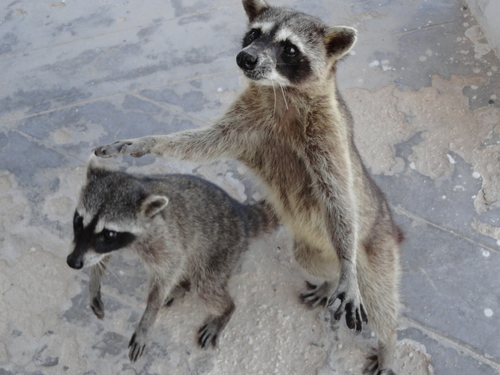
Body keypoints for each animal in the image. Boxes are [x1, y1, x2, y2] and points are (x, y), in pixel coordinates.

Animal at [66, 154, 278, 362]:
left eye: (109, 233)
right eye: (79, 220)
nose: (73, 262)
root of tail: (242, 213)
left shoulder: (165, 238)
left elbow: (170, 269)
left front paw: (147, 320)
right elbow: (101, 257)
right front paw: (94, 282)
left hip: (222, 251)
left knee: (206, 287)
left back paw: (225, 310)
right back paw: (182, 286)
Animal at [94, 0, 402, 374]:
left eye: (289, 48)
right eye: (254, 34)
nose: (246, 57)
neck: (281, 92)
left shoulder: (329, 136)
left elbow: (339, 198)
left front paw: (348, 275)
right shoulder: (246, 125)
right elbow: (200, 144)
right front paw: (148, 142)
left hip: (376, 247)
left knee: (380, 298)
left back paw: (387, 341)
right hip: (311, 247)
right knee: (311, 262)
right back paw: (329, 280)